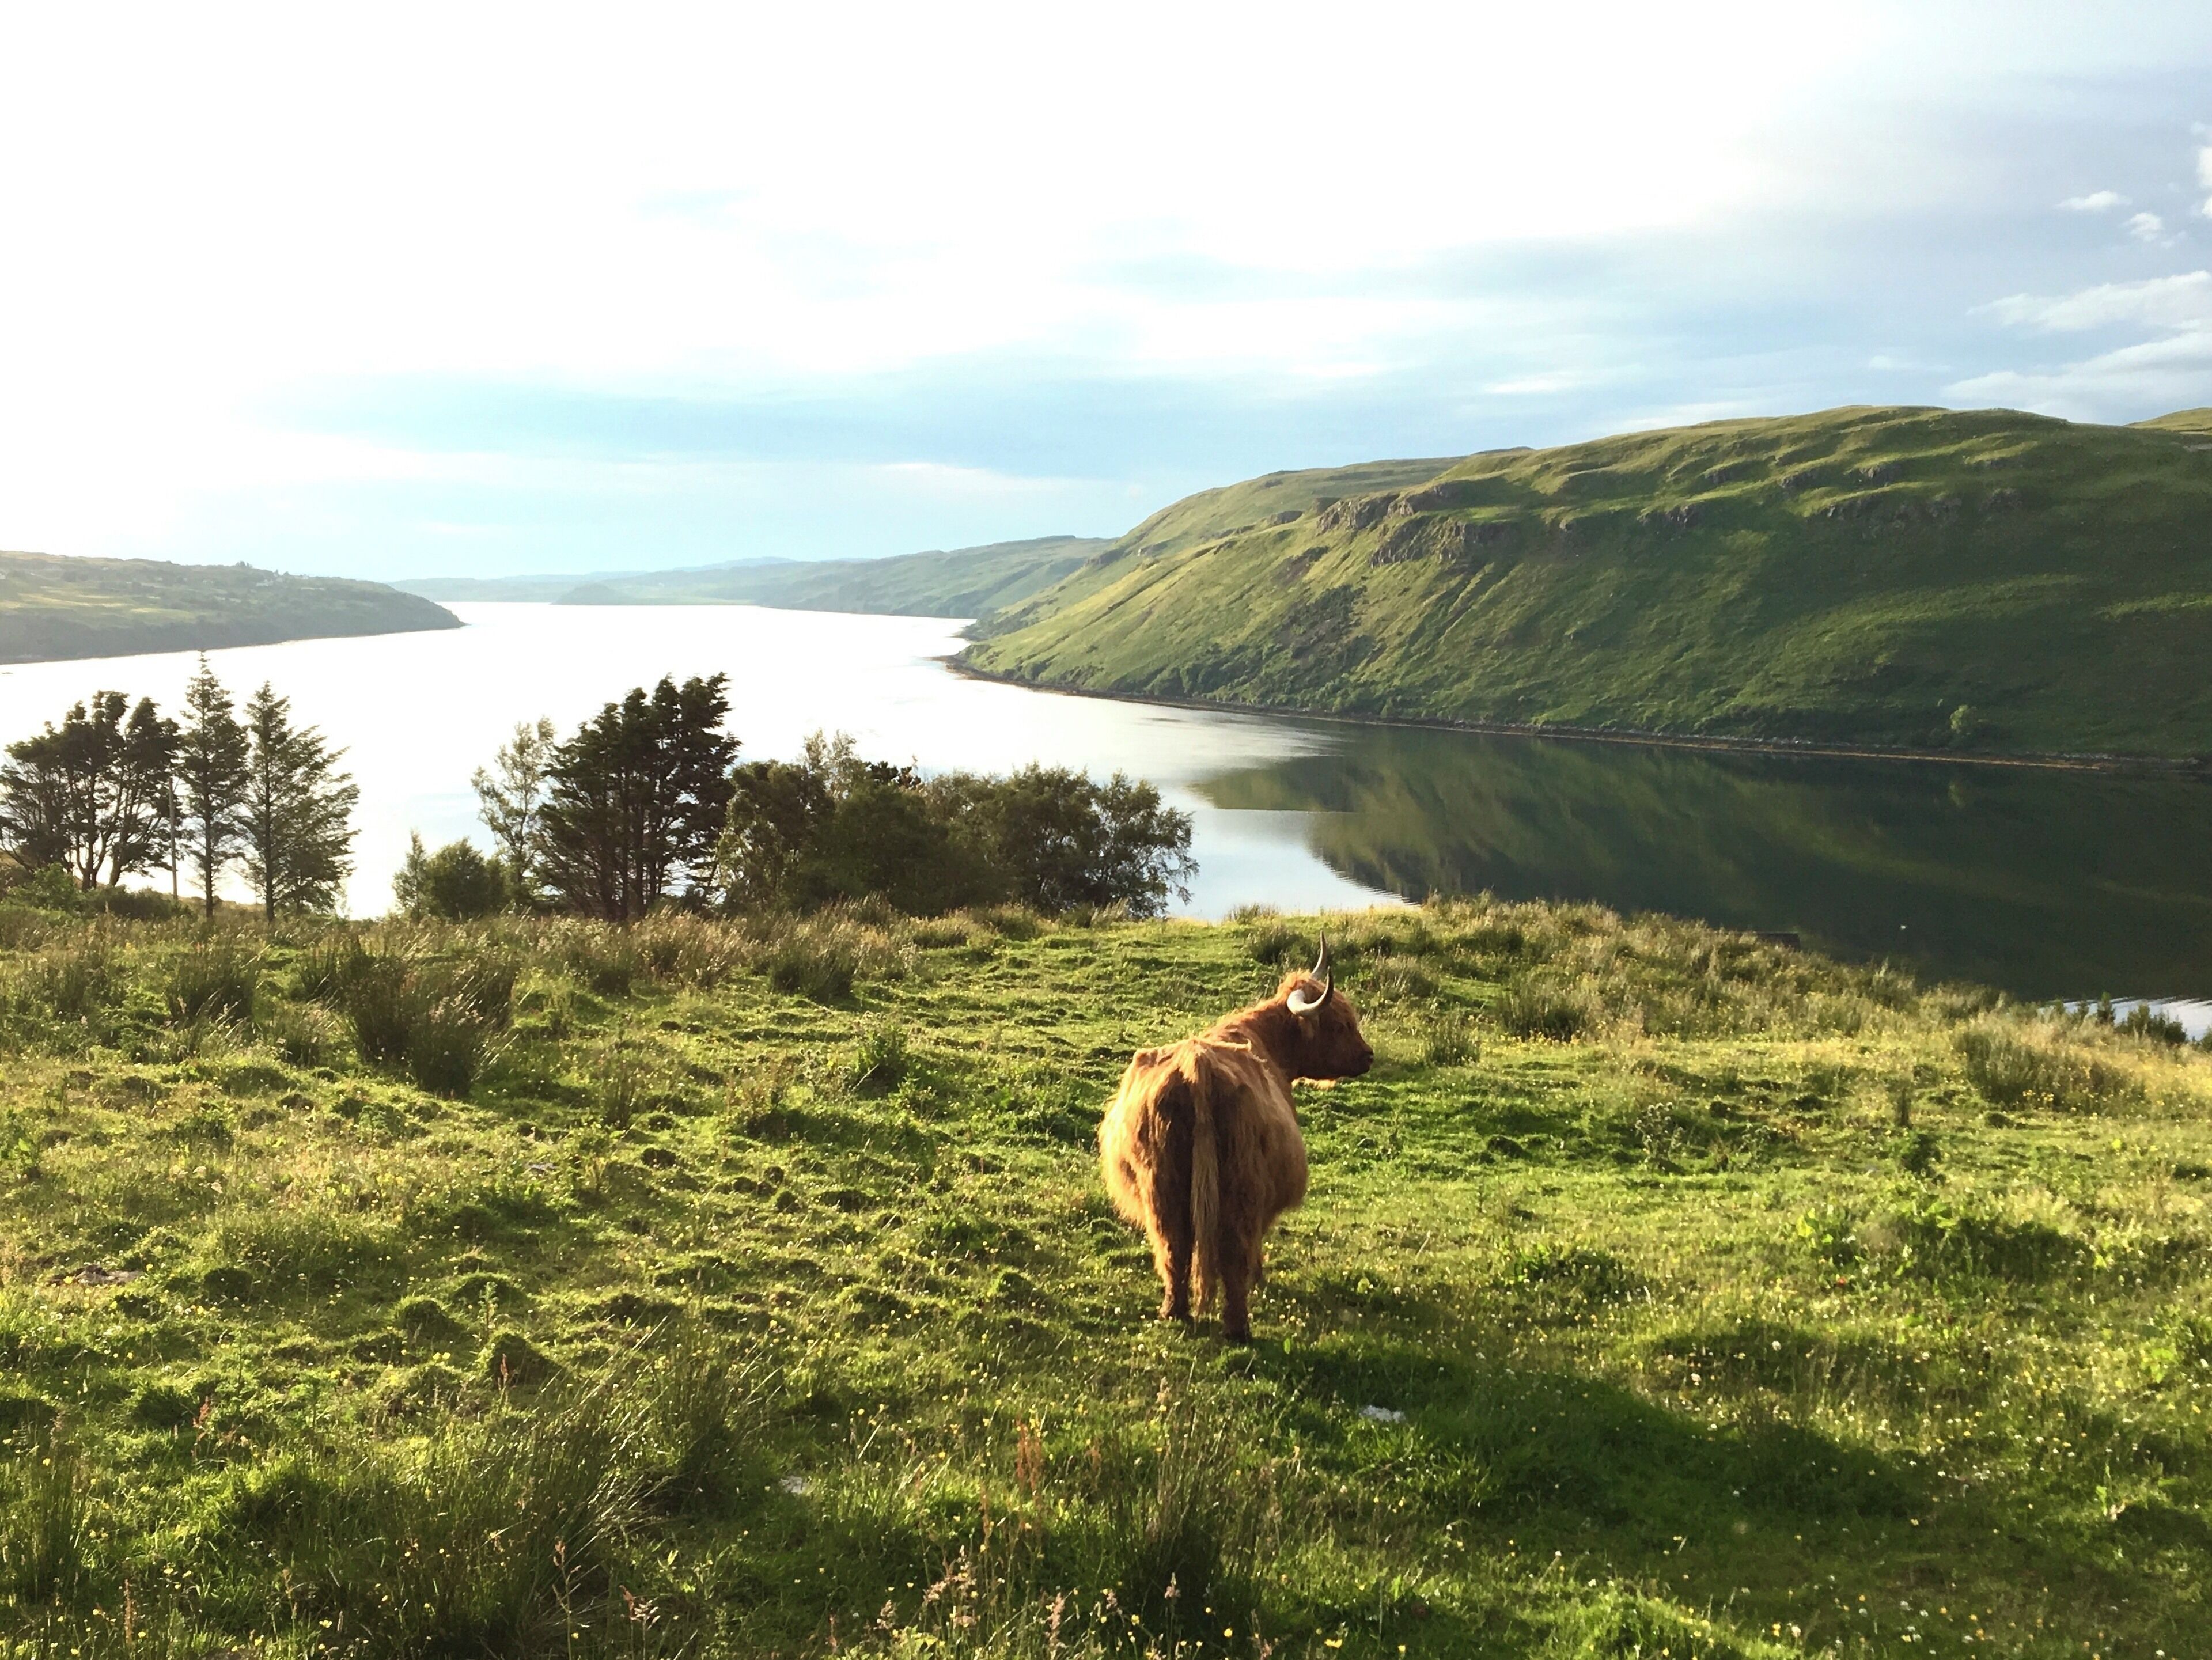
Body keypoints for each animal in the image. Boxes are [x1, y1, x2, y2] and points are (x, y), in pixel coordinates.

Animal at [1099, 938, 1372, 1341]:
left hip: (1161, 1187)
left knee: (1173, 1247)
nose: (1368, 1056)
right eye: (1340, 1025)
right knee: (1234, 1252)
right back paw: (1237, 1327)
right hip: (1241, 1188)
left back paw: (1174, 1313)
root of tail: (1196, 1069)